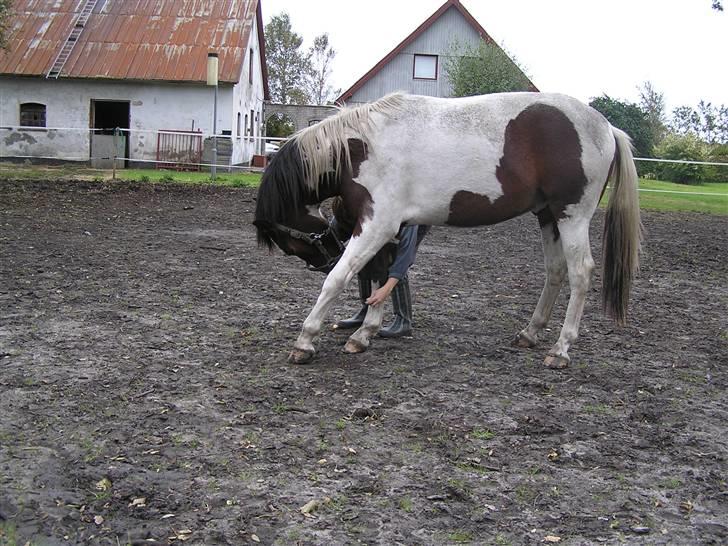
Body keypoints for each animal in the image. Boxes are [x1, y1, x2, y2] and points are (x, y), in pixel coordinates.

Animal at [253, 91, 640, 368]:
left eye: (286, 241)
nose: (325, 258)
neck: (361, 148)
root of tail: (607, 127)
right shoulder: (386, 228)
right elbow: (382, 276)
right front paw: (364, 334)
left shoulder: (378, 224)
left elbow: (339, 280)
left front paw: (305, 341)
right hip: (548, 217)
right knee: (556, 271)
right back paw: (530, 333)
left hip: (572, 217)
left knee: (580, 273)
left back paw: (560, 350)